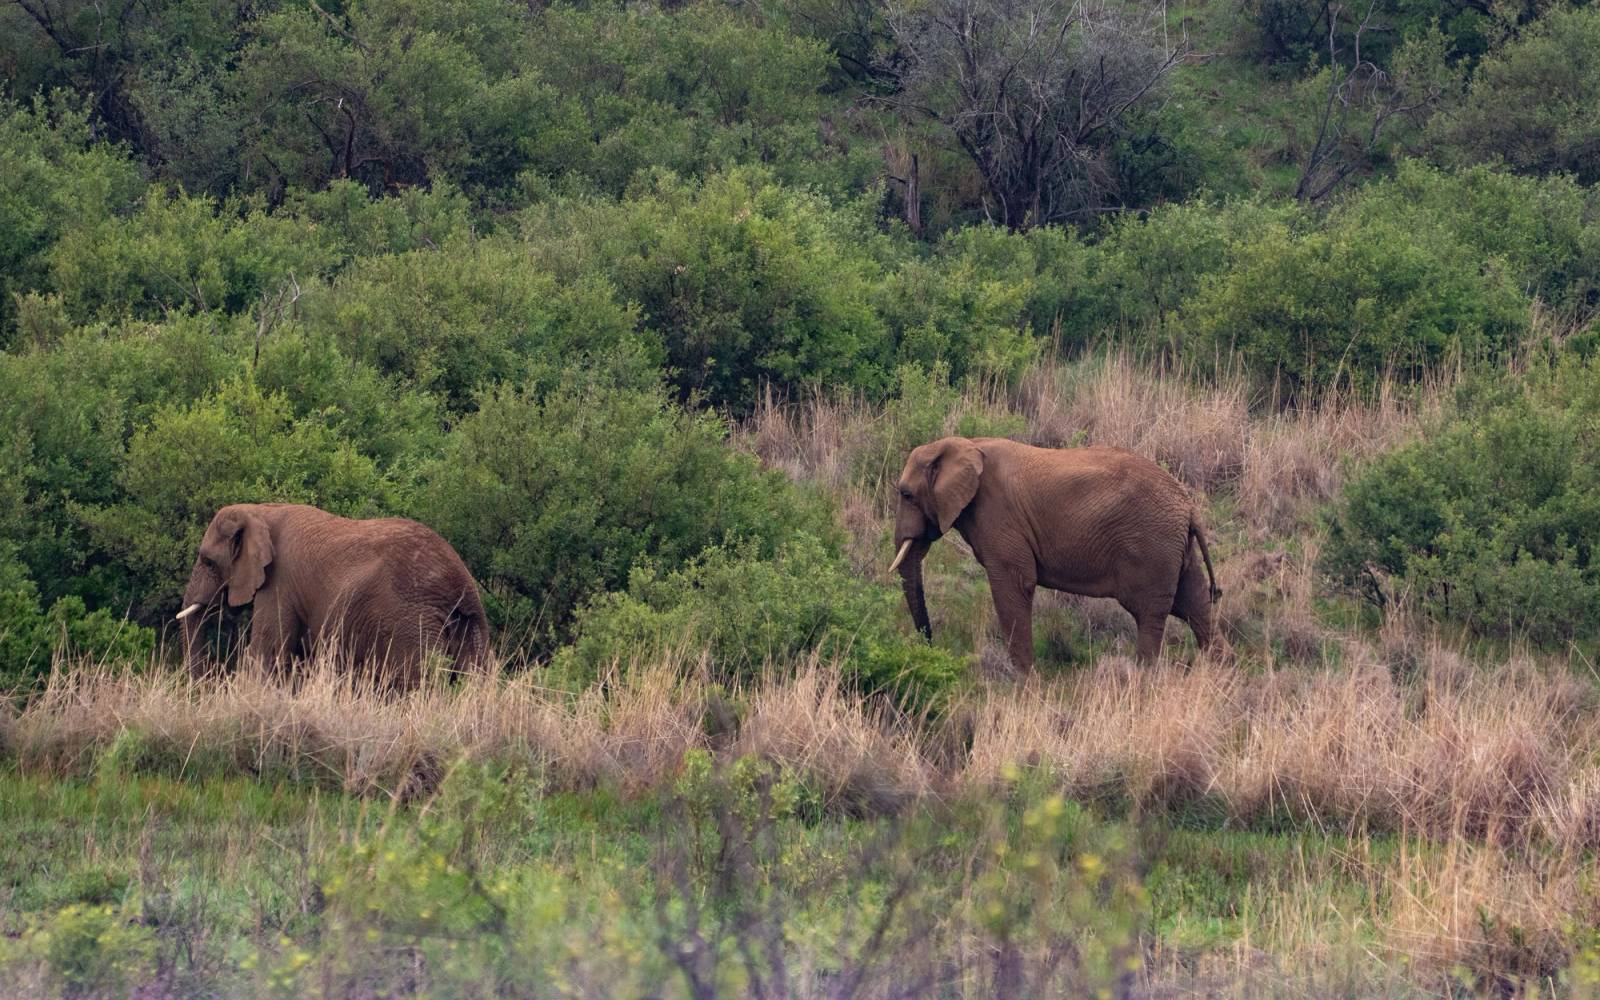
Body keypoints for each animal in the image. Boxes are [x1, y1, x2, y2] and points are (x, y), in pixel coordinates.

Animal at [175, 503, 489, 686]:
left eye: (207, 561)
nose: (206, 686)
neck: (259, 509)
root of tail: (459, 583)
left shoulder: (279, 583)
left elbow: (267, 651)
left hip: (411, 621)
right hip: (469, 623)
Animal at [888, 437, 1225, 670]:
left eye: (906, 494)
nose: (930, 646)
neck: (963, 443)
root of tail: (1188, 506)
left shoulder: (999, 516)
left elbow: (1014, 585)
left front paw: (1024, 685)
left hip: (1152, 546)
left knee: (1150, 614)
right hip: (1172, 548)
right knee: (1193, 603)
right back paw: (1219, 673)